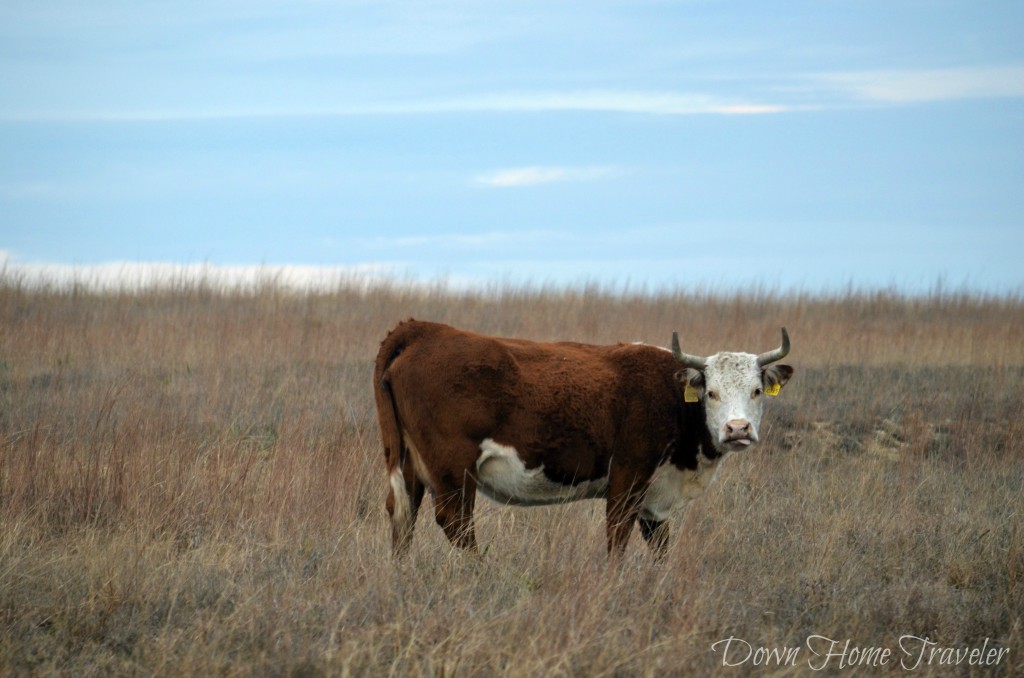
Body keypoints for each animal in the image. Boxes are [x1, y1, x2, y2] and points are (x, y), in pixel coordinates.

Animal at [372, 321, 794, 561]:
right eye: (711, 393)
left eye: (757, 390)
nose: (737, 429)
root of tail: (425, 330)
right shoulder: (628, 476)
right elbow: (617, 538)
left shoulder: (656, 497)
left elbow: (660, 548)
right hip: (453, 468)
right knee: (455, 523)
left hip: (408, 462)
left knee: (403, 516)